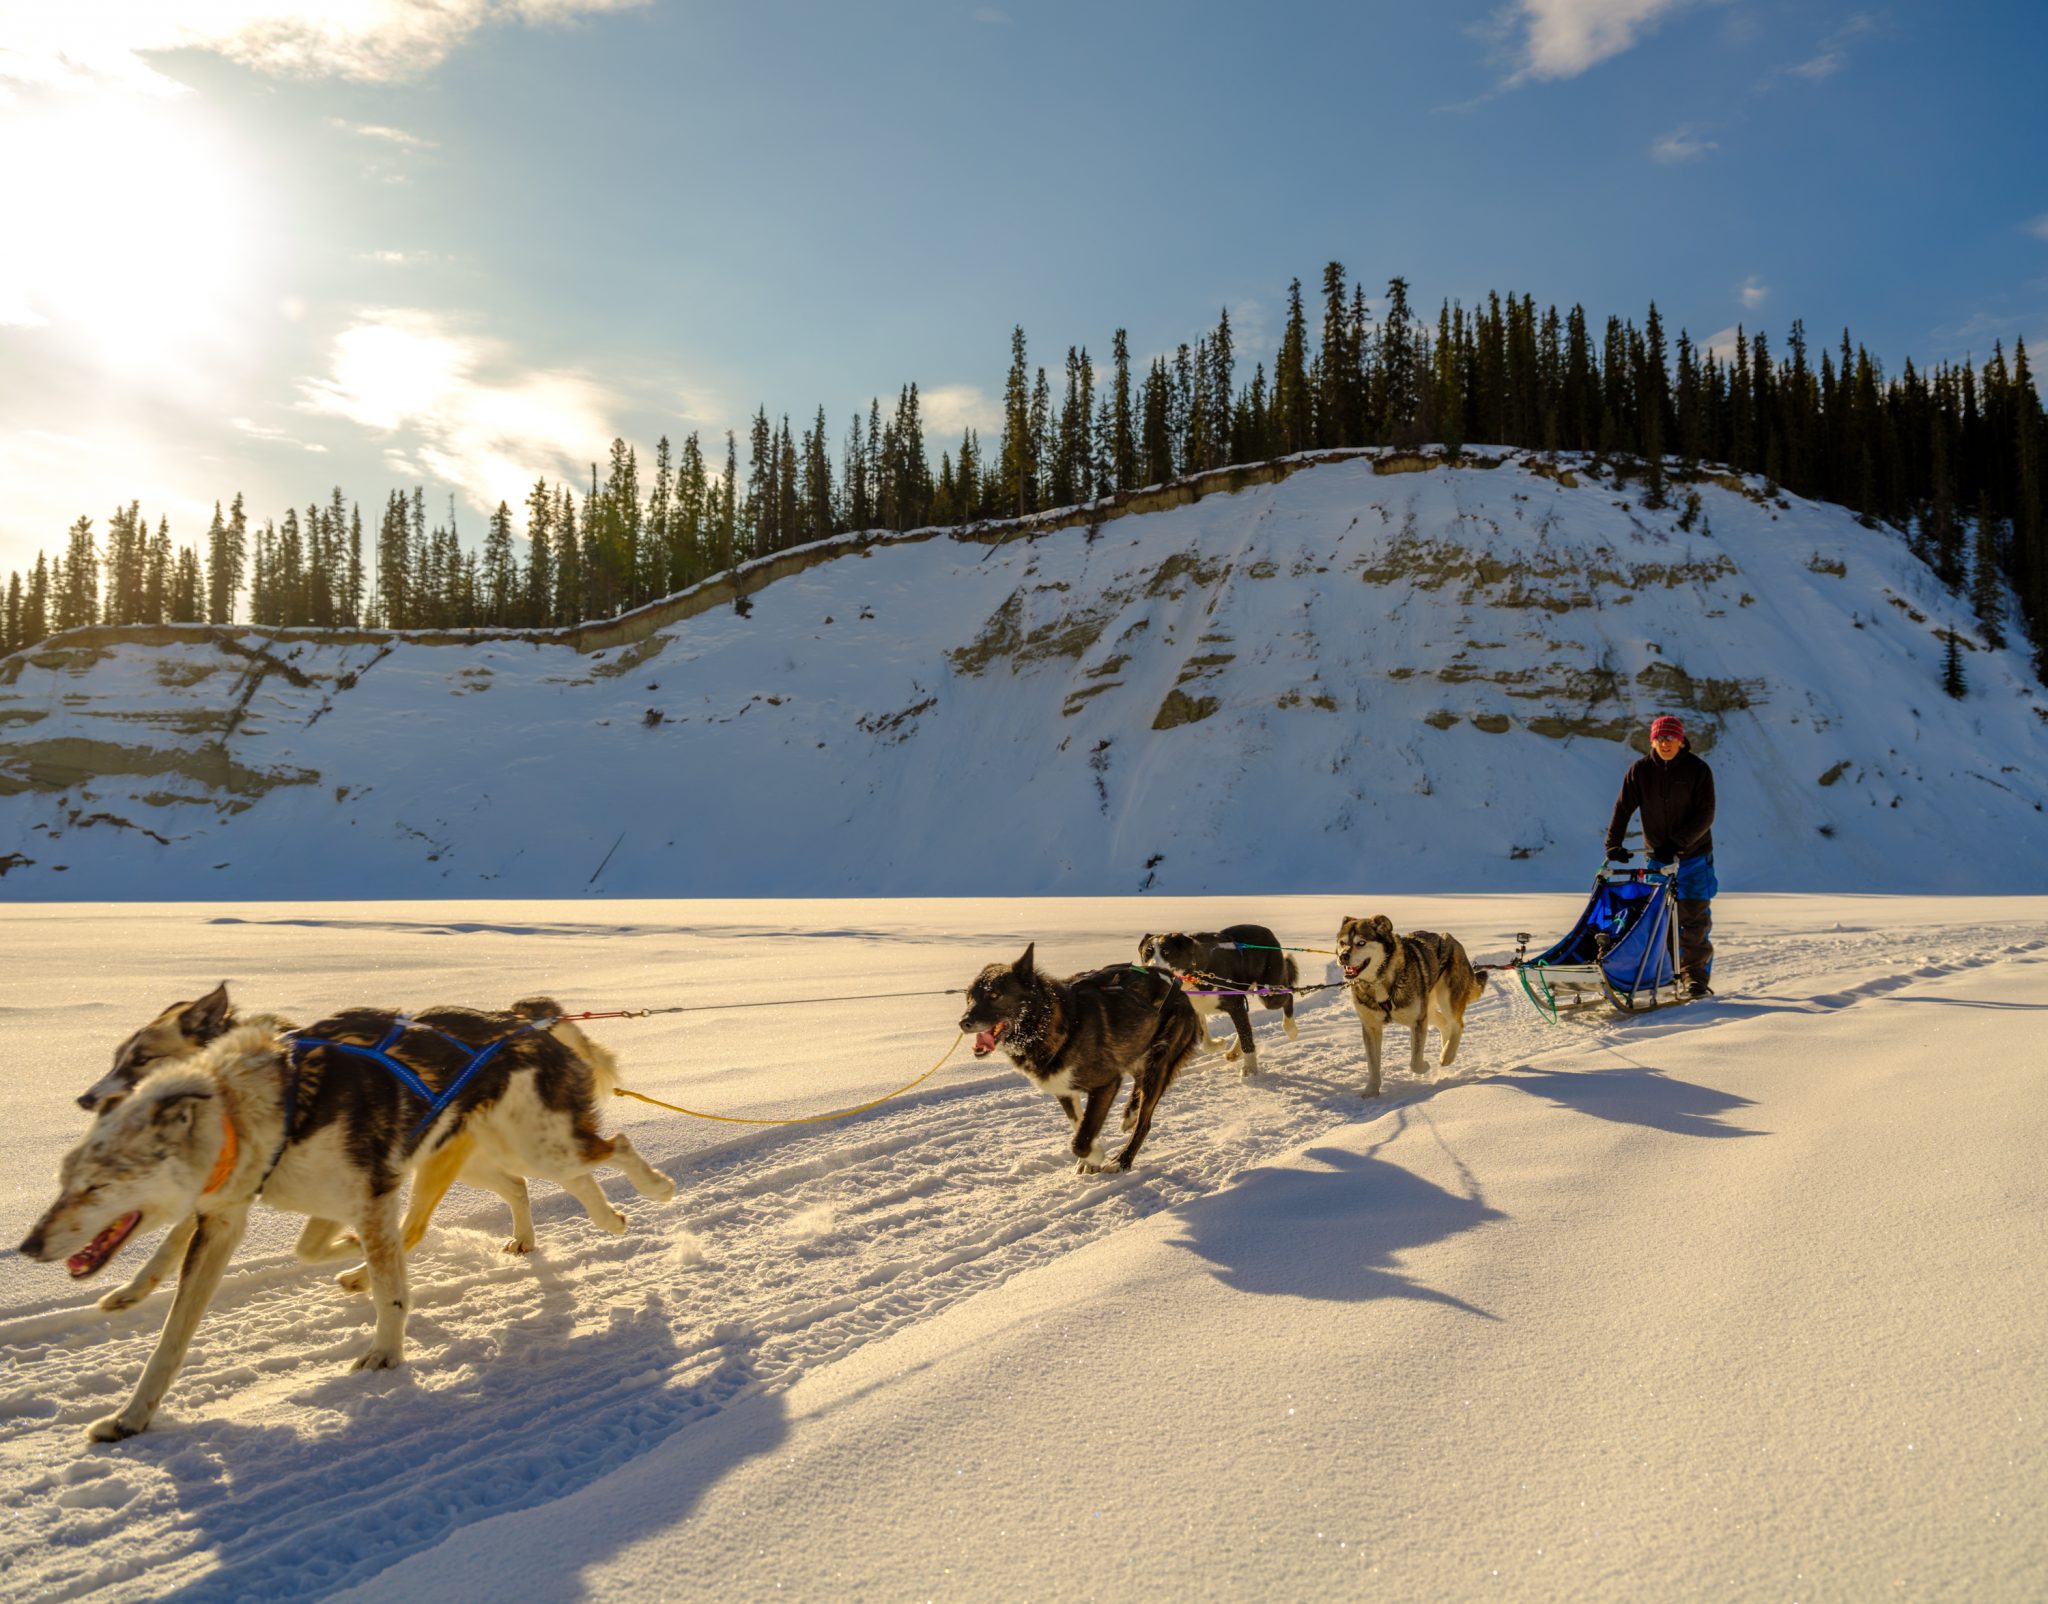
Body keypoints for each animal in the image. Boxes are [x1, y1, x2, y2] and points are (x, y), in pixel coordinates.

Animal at [22, 1003, 671, 1442]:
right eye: (64, 1177)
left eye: (97, 1185)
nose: (28, 1244)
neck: (271, 1109)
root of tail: (523, 1019)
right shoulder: (235, 1216)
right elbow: (177, 1334)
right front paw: (132, 1416)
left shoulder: (372, 1192)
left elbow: (388, 1282)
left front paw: (385, 1352)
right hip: (498, 1153)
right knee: (542, 1182)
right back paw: (585, 1222)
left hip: (536, 1144)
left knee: (614, 1146)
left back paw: (649, 1192)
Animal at [958, 942, 1196, 1179]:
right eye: (969, 996)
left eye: (994, 995)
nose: (963, 1023)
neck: (1053, 1023)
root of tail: (1177, 985)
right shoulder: (1063, 1088)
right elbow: (1081, 1125)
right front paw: (1090, 1159)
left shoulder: (1107, 1084)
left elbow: (1080, 1140)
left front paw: (1096, 1155)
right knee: (1138, 1083)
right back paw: (1130, 1114)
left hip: (1158, 1065)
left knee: (1144, 1123)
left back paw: (1122, 1160)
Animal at [1138, 930, 1294, 1081]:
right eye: (1147, 953)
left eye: (1166, 952)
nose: (1150, 970)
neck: (1195, 974)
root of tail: (1267, 931)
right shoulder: (1196, 1008)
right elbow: (1205, 1042)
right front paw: (1219, 1043)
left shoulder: (1235, 1005)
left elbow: (1246, 1037)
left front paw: (1250, 1069)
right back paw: (1234, 1052)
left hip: (1269, 995)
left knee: (1289, 994)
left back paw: (1290, 1028)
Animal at [1327, 917, 1490, 1106]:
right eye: (1342, 942)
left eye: (1361, 942)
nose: (1343, 956)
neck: (1380, 982)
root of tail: (1450, 938)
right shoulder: (1371, 1027)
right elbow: (1373, 1065)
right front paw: (1371, 1091)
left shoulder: (1417, 1021)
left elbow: (1415, 1062)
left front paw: (1425, 1065)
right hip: (1428, 1008)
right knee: (1444, 1023)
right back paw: (1446, 1047)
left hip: (1446, 998)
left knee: (1457, 1024)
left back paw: (1447, 1055)